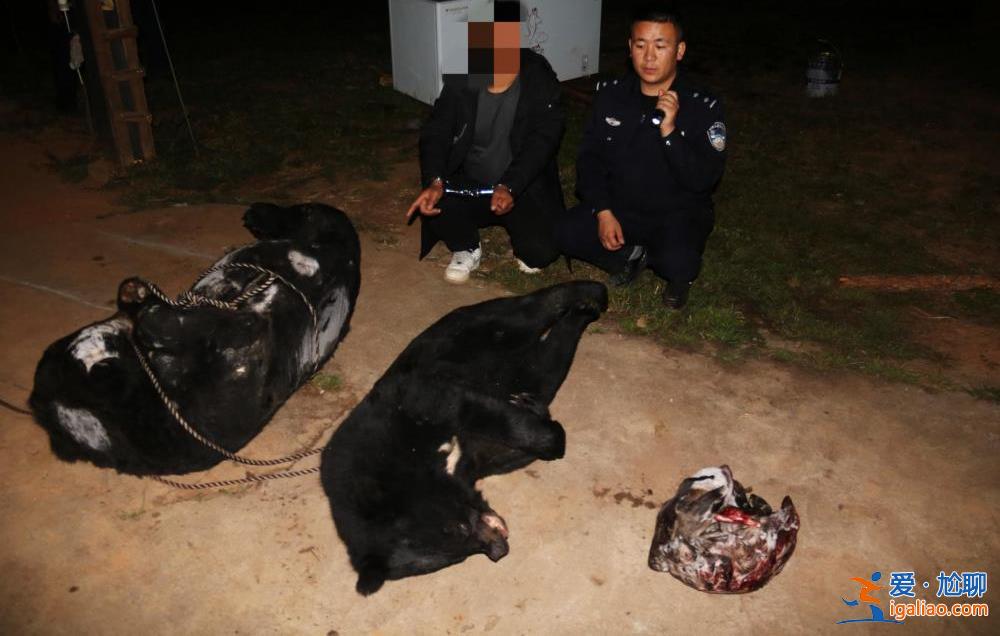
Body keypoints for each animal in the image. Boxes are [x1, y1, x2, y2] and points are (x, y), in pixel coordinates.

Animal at [321, 280, 608, 595]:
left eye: (461, 529)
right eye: (456, 558)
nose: (499, 550)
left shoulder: (414, 403)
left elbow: (467, 407)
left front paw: (547, 432)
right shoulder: (471, 459)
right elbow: (501, 449)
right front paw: (536, 414)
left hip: (480, 331)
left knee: (529, 311)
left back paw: (590, 295)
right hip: (524, 367)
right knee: (549, 359)